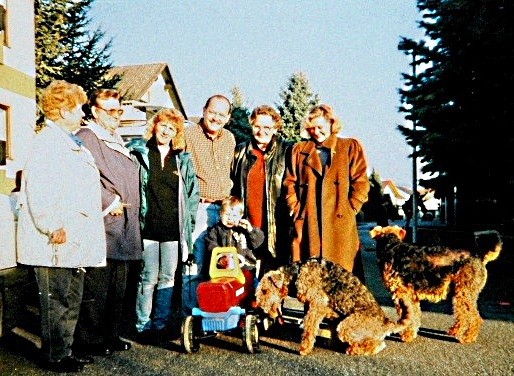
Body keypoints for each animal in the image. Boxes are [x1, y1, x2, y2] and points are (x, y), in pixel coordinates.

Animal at [254, 258, 406, 356]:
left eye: (265, 291)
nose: (259, 307)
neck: (297, 273)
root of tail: (386, 322)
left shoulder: (316, 305)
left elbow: (309, 329)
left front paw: (304, 349)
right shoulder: (323, 307)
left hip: (345, 327)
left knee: (377, 345)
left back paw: (353, 350)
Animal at [368, 225, 500, 346]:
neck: (392, 246)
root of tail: (479, 257)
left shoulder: (401, 294)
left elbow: (407, 316)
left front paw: (406, 335)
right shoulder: (411, 296)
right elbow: (414, 315)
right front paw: (410, 333)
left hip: (464, 294)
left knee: (474, 318)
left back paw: (468, 337)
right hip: (460, 294)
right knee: (463, 316)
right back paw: (454, 331)